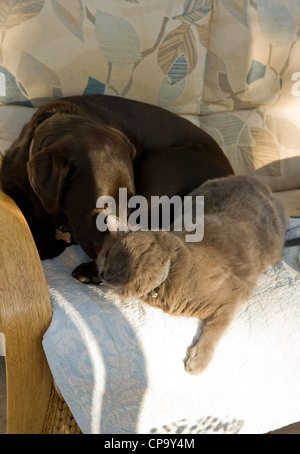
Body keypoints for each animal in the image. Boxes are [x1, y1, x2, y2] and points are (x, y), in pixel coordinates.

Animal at [97, 176, 288, 374]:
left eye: (106, 255)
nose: (100, 273)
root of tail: (252, 179)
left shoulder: (232, 295)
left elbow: (215, 328)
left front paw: (198, 360)